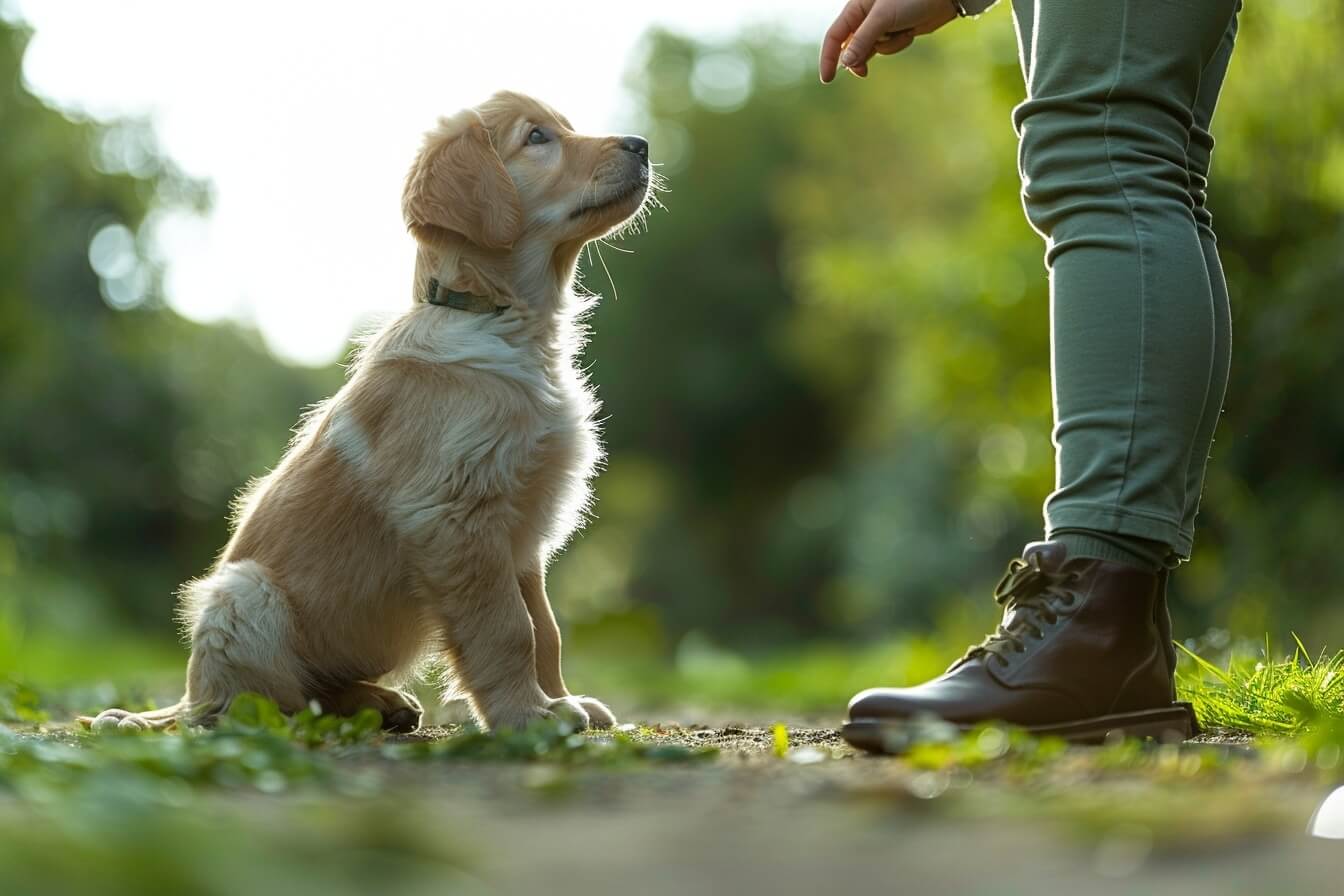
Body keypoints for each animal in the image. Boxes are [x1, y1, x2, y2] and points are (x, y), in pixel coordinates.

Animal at [82, 91, 650, 736]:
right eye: (537, 138)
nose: (642, 145)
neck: (500, 318)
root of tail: (187, 692)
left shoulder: (521, 531)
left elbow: (545, 628)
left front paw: (563, 701)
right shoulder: (455, 516)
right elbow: (509, 628)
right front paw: (527, 715)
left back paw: (380, 703)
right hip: (243, 595)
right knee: (254, 703)